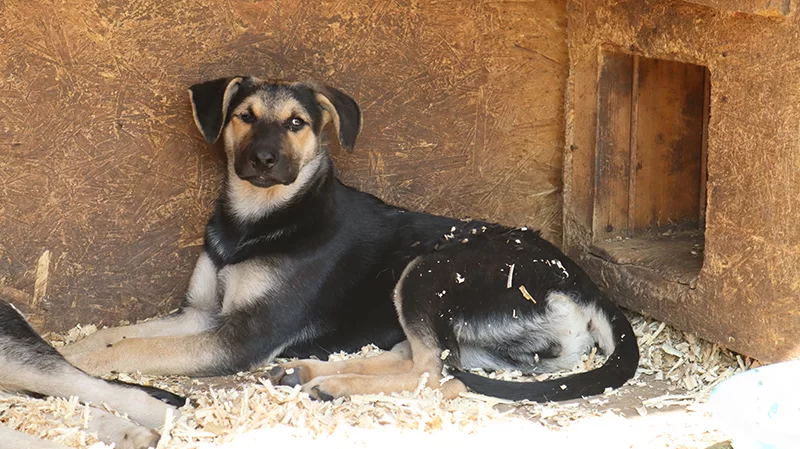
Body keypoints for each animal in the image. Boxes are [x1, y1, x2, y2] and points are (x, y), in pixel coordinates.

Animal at [59, 75, 640, 400]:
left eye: (296, 123)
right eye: (244, 116)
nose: (262, 160)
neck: (255, 224)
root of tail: (586, 285)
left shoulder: (241, 336)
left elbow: (138, 345)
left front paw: (76, 367)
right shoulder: (202, 314)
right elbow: (123, 333)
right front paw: (70, 349)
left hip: (430, 272)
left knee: (438, 373)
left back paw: (336, 383)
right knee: (425, 359)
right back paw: (310, 372)